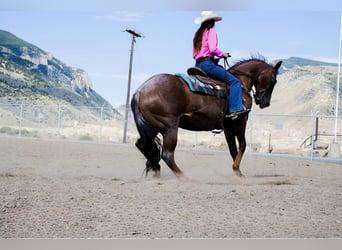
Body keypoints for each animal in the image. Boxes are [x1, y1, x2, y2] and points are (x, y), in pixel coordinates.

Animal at [130, 56, 282, 178]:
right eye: (274, 80)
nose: (265, 102)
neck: (240, 83)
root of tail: (140, 91)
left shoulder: (228, 127)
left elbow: (233, 149)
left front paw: (238, 172)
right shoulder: (240, 122)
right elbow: (243, 146)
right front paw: (237, 170)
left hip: (153, 127)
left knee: (144, 145)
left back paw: (156, 171)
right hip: (170, 127)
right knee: (167, 154)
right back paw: (184, 177)